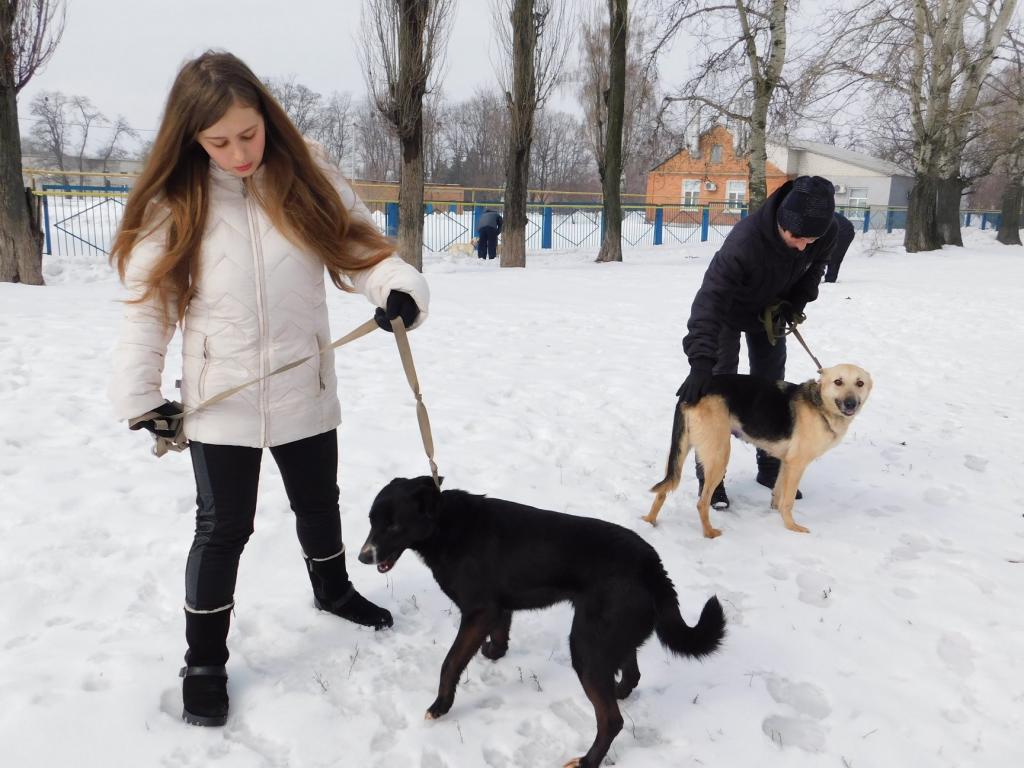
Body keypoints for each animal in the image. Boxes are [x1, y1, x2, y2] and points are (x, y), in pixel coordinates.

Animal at [358, 477, 725, 768]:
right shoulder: (498, 608)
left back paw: (587, 761)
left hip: (585, 646)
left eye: (393, 525)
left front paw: (440, 706)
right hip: (607, 637)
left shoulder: (478, 612)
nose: (362, 556)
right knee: (631, 674)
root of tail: (652, 565)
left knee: (611, 720)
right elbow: (499, 636)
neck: (445, 525)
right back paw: (619, 692)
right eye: (372, 521)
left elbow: (450, 663)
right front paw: (494, 653)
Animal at [644, 364, 873, 538]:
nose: (851, 403)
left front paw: (775, 514)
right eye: (838, 382)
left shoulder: (786, 463)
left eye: (860, 383)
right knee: (701, 503)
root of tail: (693, 392)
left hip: (681, 450)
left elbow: (778, 494)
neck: (820, 405)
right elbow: (788, 501)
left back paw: (649, 522)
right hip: (719, 455)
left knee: (664, 489)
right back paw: (709, 533)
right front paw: (792, 527)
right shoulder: (797, 464)